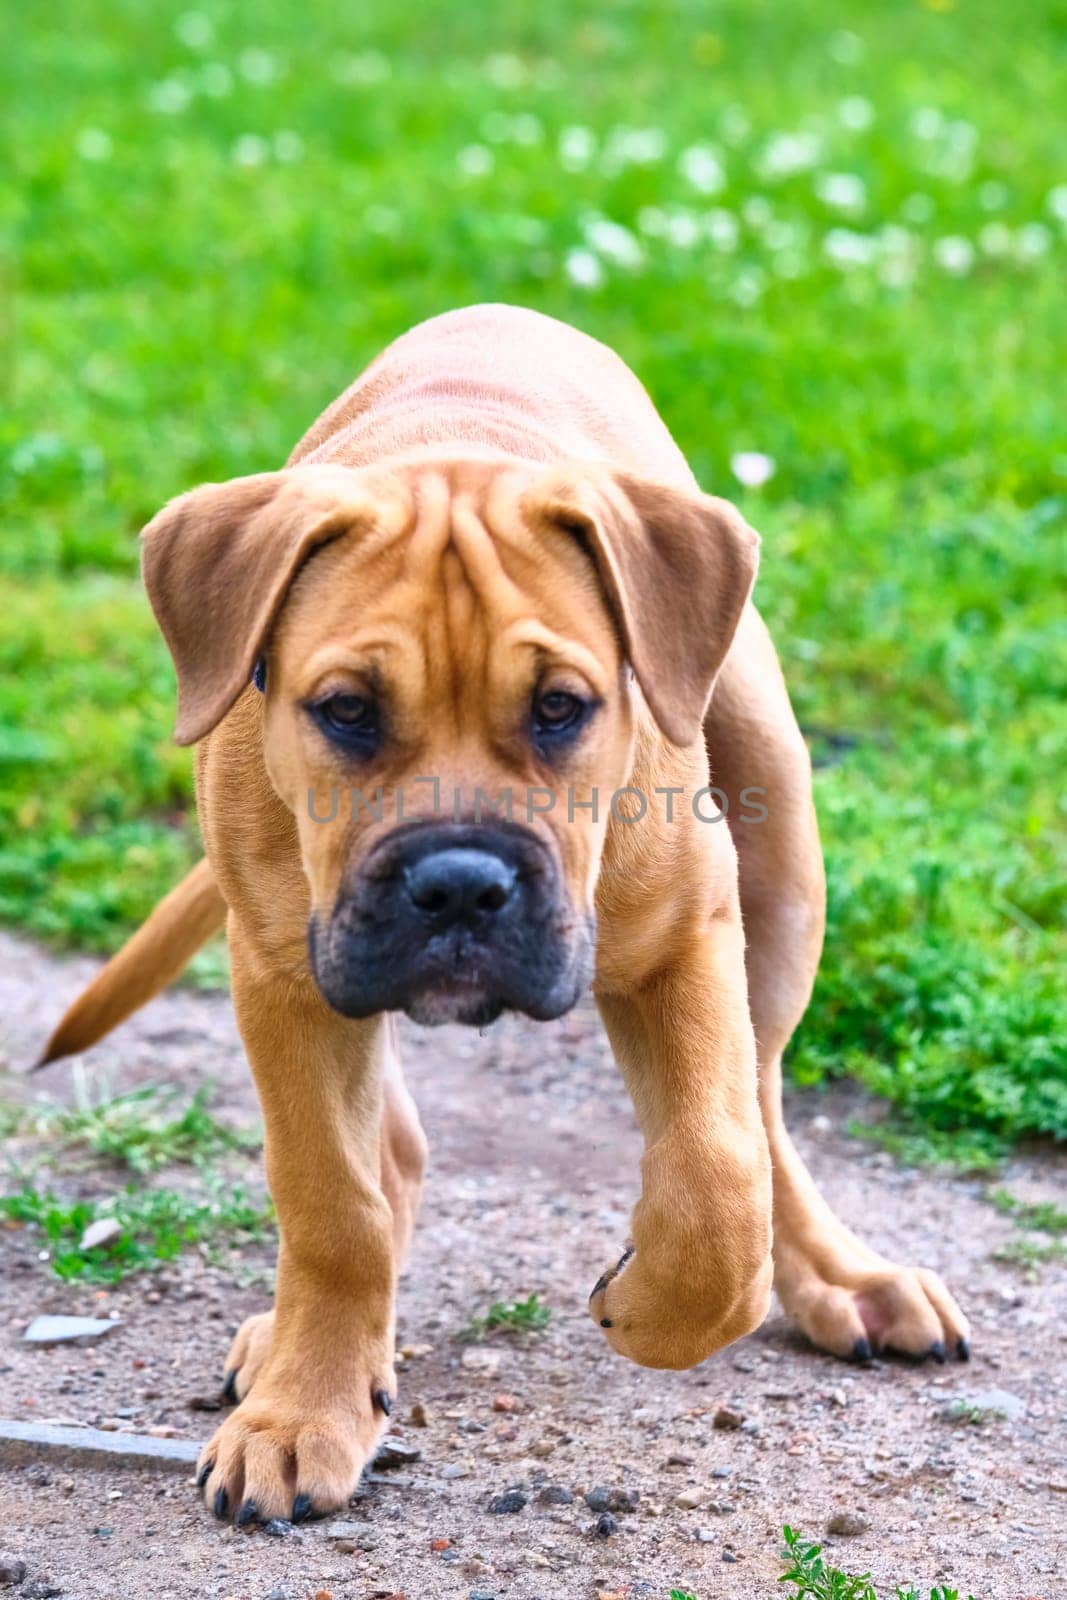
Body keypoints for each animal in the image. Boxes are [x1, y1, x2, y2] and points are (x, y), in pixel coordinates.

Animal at [45, 302, 972, 1523]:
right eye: (345, 711)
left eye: (559, 709)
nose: (457, 883)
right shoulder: (284, 974)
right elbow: (332, 1204)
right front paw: (304, 1407)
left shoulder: (684, 936)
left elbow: (717, 1184)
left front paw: (647, 1301)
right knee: (389, 1155)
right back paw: (299, 1338)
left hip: (777, 847)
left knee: (765, 1111)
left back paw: (842, 1279)